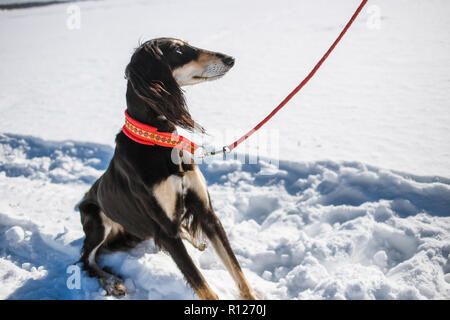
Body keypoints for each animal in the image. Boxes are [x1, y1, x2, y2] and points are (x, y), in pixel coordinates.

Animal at [77, 37, 256, 300]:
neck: (158, 140)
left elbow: (237, 270)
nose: (230, 59)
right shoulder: (165, 231)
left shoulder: (207, 212)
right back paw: (111, 283)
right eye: (179, 50)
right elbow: (201, 284)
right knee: (84, 259)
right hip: (96, 218)